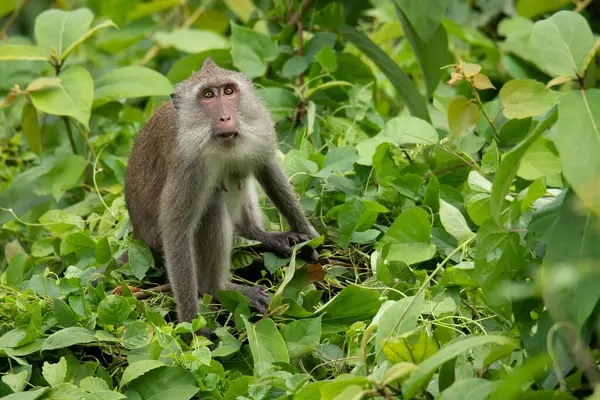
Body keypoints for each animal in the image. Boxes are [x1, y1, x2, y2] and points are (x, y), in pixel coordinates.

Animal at [120, 57, 322, 324]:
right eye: (208, 95)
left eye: (228, 91)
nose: (226, 117)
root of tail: (139, 235)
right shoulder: (188, 165)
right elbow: (176, 231)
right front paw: (192, 324)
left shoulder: (259, 127)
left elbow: (267, 170)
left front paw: (309, 236)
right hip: (155, 240)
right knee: (211, 206)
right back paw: (217, 288)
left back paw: (257, 234)